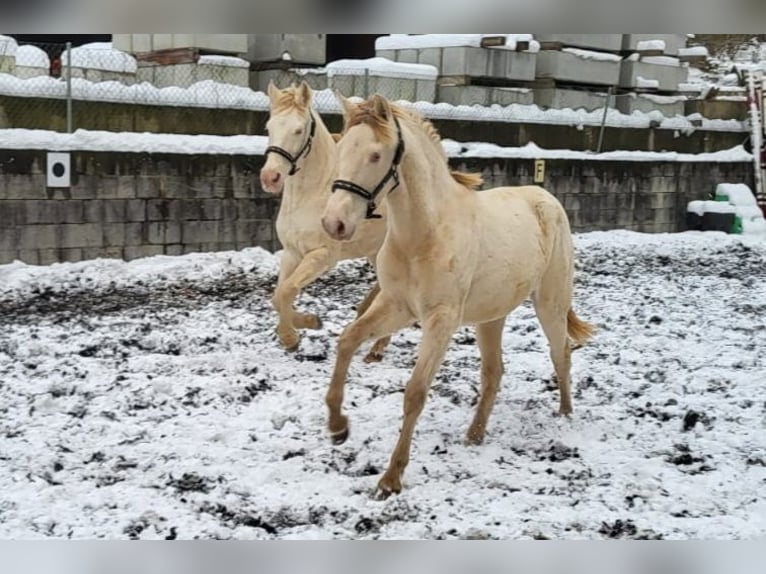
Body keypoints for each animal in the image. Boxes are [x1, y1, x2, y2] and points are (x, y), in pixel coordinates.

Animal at [260, 81, 390, 360]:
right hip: (375, 253)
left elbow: (287, 290)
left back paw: (377, 346)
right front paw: (303, 328)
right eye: (269, 127)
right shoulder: (292, 253)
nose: (270, 177)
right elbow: (278, 295)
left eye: (298, 130)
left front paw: (295, 333)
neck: (310, 195)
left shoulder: (323, 256)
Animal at [320, 94, 596, 500]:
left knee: (560, 352)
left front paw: (391, 478)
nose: (334, 224)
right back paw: (475, 434)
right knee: (494, 372)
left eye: (375, 155)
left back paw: (564, 414)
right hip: (491, 316)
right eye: (340, 150)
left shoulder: (441, 319)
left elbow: (416, 392)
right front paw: (338, 426)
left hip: (550, 302)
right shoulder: (397, 307)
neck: (424, 234)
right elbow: (347, 341)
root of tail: (546, 198)